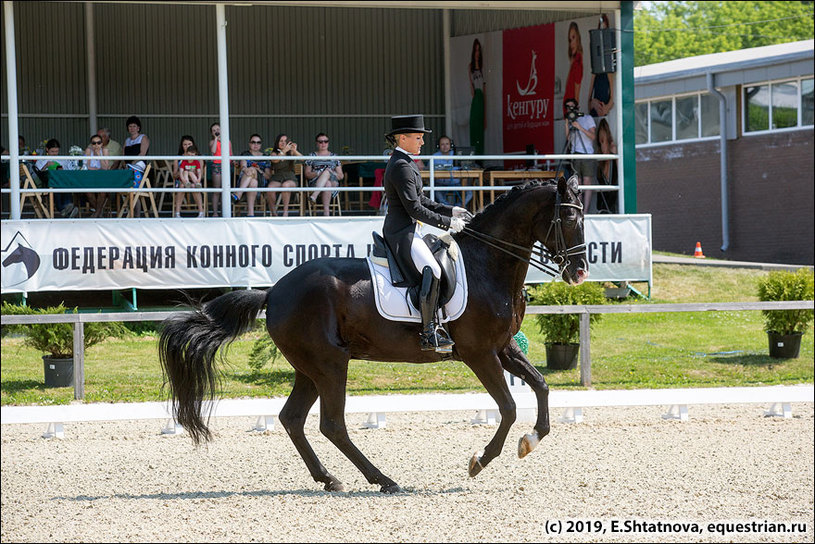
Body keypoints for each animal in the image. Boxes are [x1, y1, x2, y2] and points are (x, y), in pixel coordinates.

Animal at [159, 176, 588, 496]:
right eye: (568, 219)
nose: (580, 272)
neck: (488, 264)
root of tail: (275, 291)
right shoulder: (479, 353)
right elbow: (509, 407)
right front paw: (479, 461)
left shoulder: (503, 348)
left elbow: (542, 386)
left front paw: (531, 439)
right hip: (330, 365)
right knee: (332, 424)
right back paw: (384, 480)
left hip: (310, 369)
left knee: (293, 418)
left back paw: (329, 479)